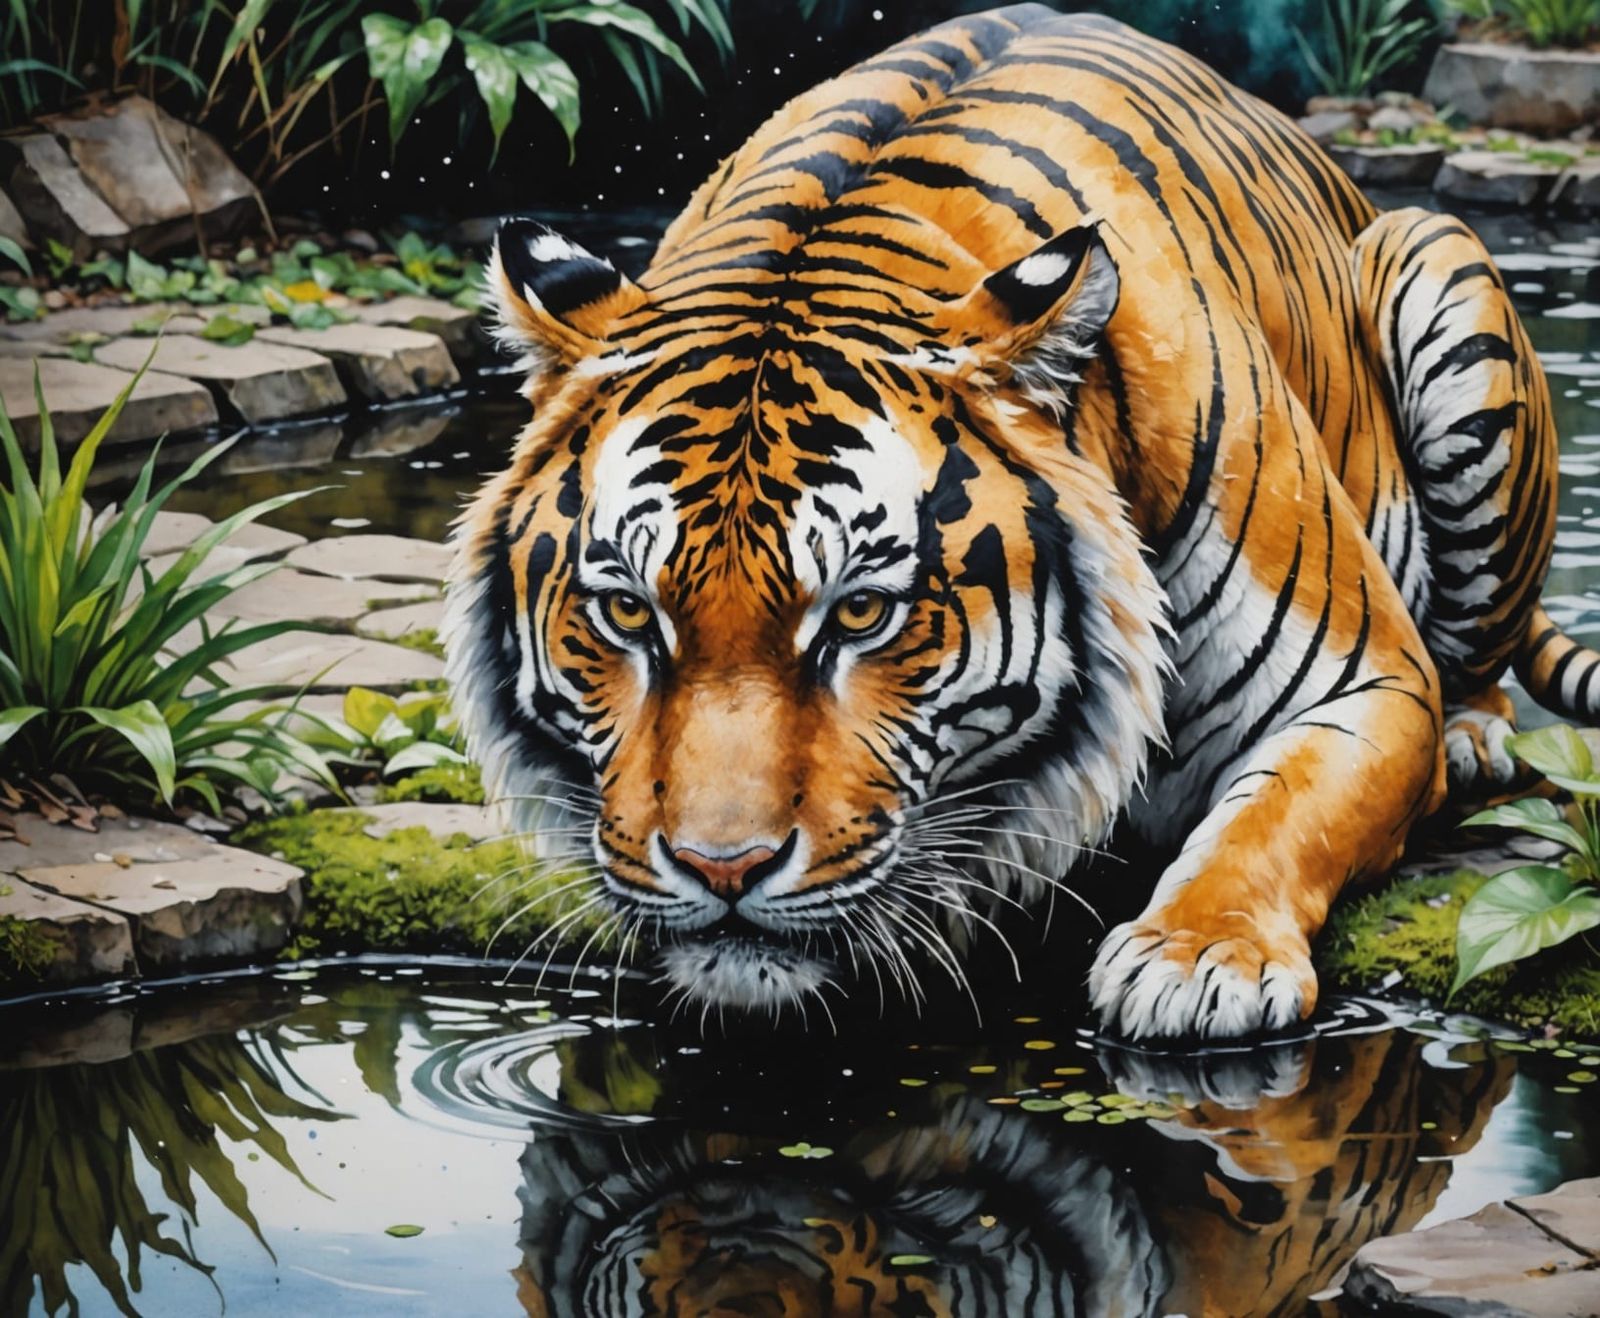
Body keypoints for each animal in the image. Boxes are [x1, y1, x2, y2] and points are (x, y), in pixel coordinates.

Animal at [444, 3, 1584, 1041]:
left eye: (859, 615)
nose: (722, 868)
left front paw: (1195, 958)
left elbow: (1278, 812)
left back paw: (1474, 740)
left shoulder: (1367, 679)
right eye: (629, 614)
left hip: (1436, 258)